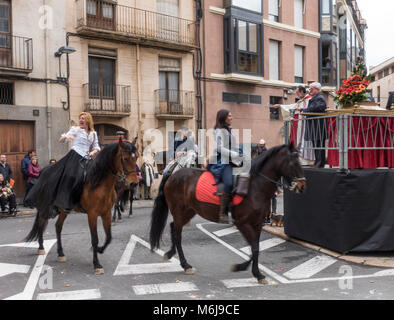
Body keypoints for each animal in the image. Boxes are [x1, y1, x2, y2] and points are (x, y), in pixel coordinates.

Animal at [24, 139, 139, 276]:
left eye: (137, 157)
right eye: (125, 158)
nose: (134, 183)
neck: (99, 183)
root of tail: (43, 171)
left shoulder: (106, 213)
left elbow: (109, 237)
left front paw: (100, 249)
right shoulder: (92, 215)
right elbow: (94, 239)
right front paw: (97, 264)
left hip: (64, 210)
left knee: (58, 227)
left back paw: (61, 253)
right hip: (45, 207)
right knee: (41, 223)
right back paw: (41, 247)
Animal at [149, 142, 306, 282]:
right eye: (294, 162)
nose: (302, 186)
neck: (255, 186)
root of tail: (173, 174)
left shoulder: (257, 224)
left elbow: (256, 247)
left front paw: (253, 272)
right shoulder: (242, 223)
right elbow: (254, 247)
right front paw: (247, 269)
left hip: (189, 211)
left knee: (173, 228)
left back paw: (171, 254)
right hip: (178, 210)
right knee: (177, 234)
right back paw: (185, 264)